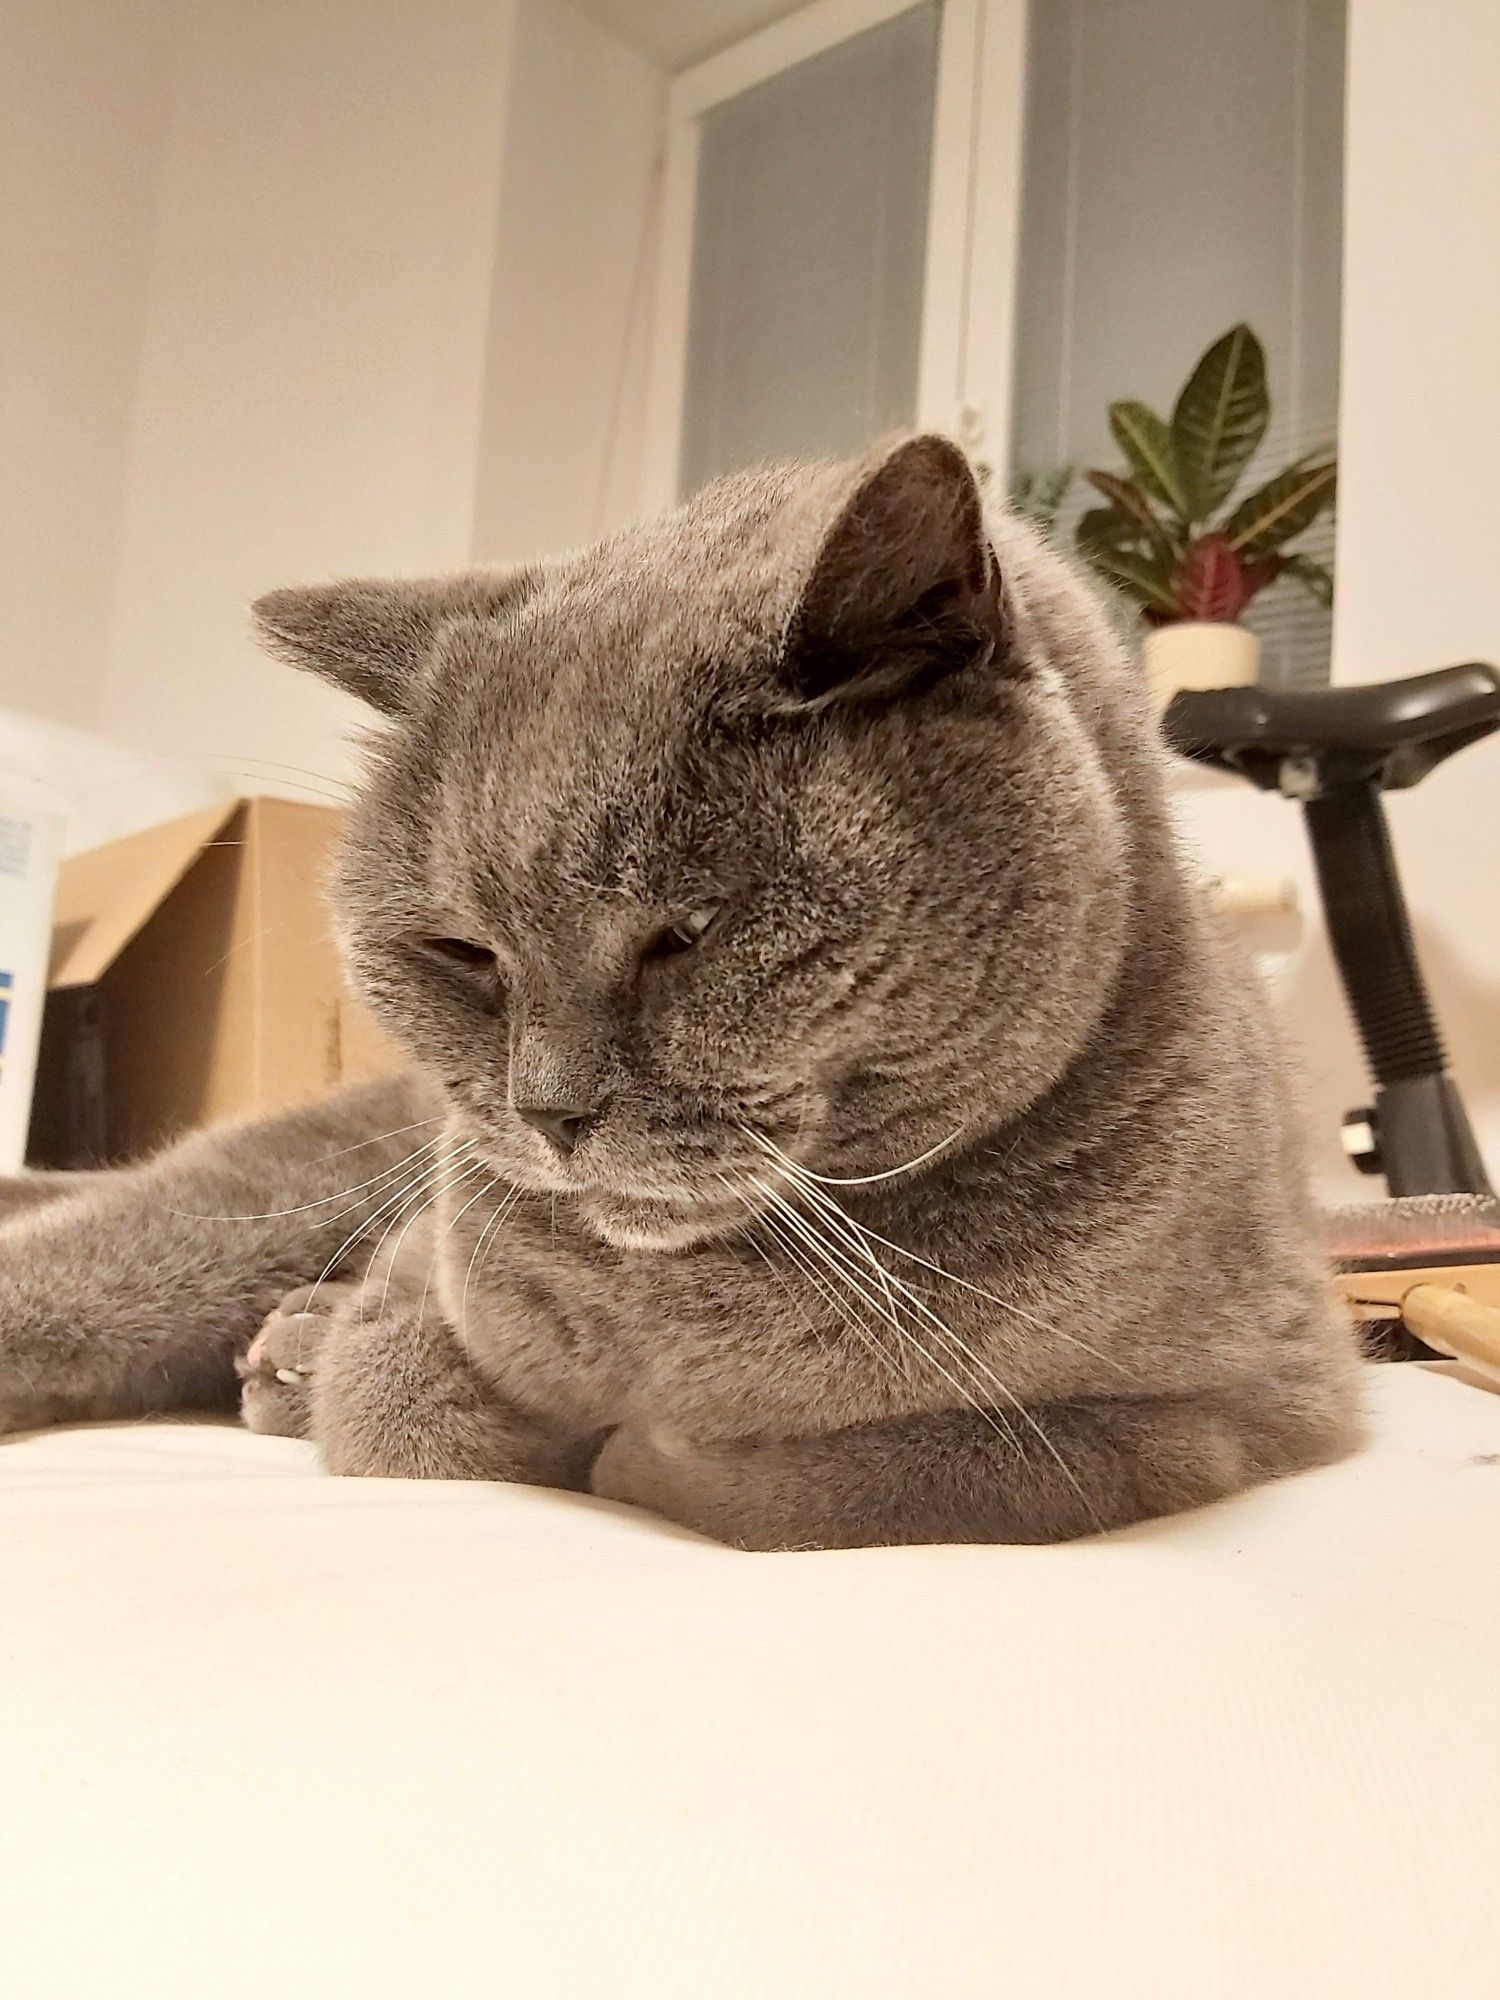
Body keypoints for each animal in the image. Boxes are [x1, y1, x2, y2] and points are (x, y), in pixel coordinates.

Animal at [0, 438, 1360, 1552]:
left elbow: (861, 1479)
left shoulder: (1245, 1405)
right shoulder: (433, 1262)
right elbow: (401, 1395)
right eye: (463, 952)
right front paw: (360, 1354)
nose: (547, 1111)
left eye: (689, 932)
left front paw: (633, 1445)